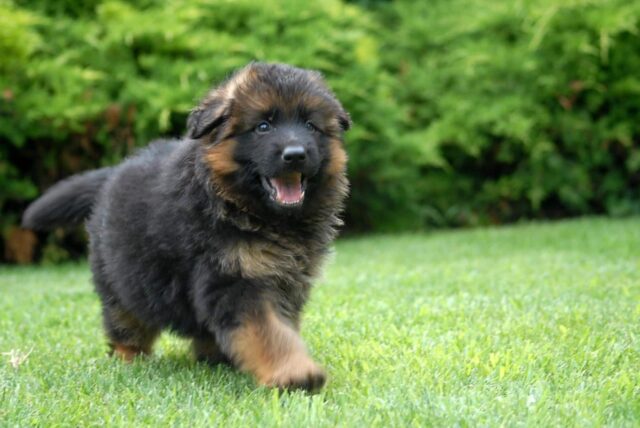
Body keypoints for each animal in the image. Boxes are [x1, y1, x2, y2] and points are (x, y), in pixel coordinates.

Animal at [21, 63, 350, 392]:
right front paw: (294, 372)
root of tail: (113, 173)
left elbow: (280, 326)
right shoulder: (233, 279)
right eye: (263, 127)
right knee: (125, 323)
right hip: (122, 280)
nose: (295, 154)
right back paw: (130, 357)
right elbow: (269, 331)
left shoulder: (287, 281)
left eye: (310, 126)